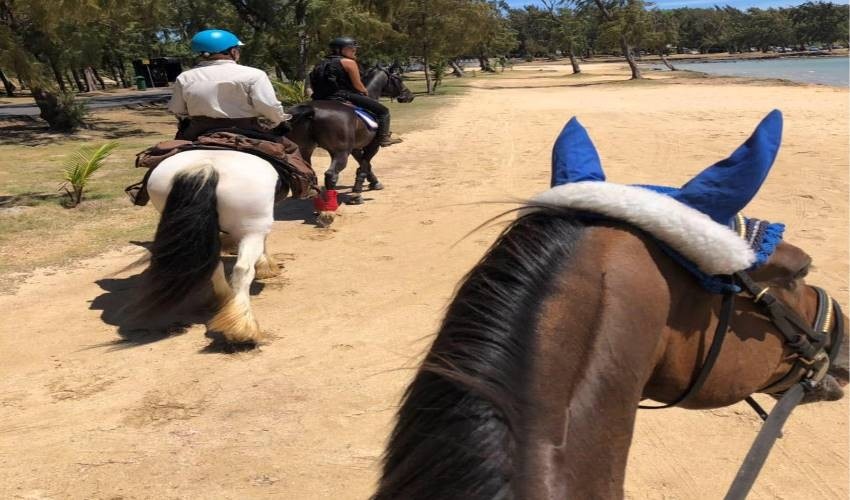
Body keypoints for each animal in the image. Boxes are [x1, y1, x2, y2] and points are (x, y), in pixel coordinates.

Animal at [137, 149, 281, 345]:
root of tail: (206, 167)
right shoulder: (260, 228)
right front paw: (267, 267)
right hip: (253, 228)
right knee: (242, 270)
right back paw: (242, 328)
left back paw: (224, 300)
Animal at [286, 66, 414, 197]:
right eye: (399, 79)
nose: (409, 95)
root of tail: (312, 110)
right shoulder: (373, 145)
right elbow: (365, 164)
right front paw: (358, 190)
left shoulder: (355, 148)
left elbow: (364, 164)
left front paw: (373, 182)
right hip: (341, 153)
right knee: (331, 174)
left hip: (305, 149)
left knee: (305, 169)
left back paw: (312, 191)